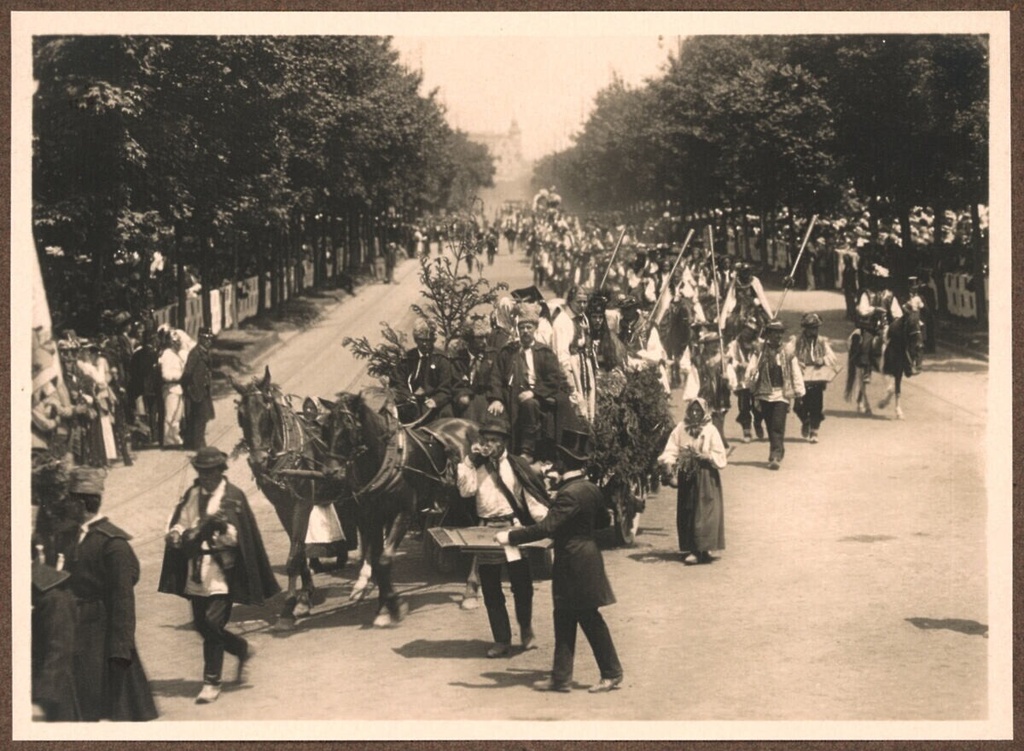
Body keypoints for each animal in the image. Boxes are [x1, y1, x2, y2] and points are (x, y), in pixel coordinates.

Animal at [321, 393, 477, 627]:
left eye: (348, 426)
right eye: (325, 427)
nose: (331, 472)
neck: (385, 461)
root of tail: (470, 424)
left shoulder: (403, 513)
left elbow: (384, 560)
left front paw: (395, 606)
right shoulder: (372, 518)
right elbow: (377, 562)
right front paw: (384, 607)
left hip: (470, 499)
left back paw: (471, 590)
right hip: (456, 500)